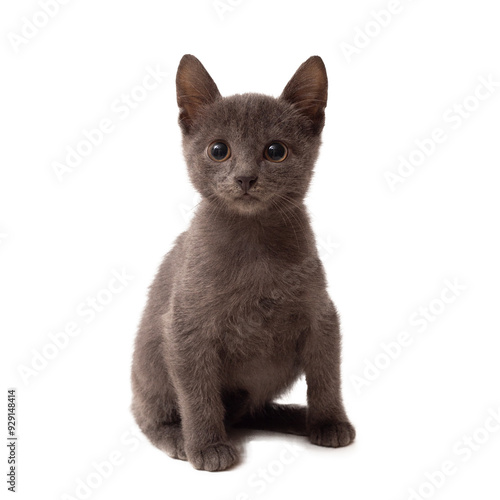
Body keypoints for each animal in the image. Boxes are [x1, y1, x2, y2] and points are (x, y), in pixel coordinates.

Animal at [131, 55, 354, 472]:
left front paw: (329, 421)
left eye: (276, 151)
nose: (246, 178)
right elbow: (198, 394)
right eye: (219, 150)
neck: (254, 245)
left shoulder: (321, 316)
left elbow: (326, 376)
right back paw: (178, 437)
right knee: (149, 415)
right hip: (150, 362)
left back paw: (296, 417)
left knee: (251, 411)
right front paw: (207, 447)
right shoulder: (186, 328)